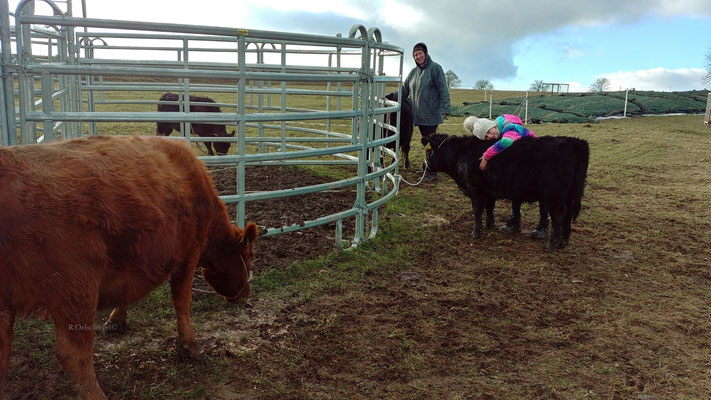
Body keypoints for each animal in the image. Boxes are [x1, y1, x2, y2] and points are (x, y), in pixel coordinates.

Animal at [0, 136, 260, 398]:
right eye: (249, 256)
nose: (245, 294)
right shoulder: (189, 254)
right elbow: (182, 301)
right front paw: (190, 347)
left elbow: (126, 293)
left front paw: (116, 320)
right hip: (76, 289)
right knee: (72, 353)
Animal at [422, 133, 588, 248]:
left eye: (428, 152)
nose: (424, 166)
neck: (461, 153)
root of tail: (575, 142)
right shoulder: (489, 190)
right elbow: (489, 207)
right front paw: (489, 225)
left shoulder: (474, 188)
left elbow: (477, 209)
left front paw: (476, 232)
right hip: (569, 195)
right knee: (568, 214)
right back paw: (564, 241)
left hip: (555, 196)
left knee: (559, 216)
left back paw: (552, 244)